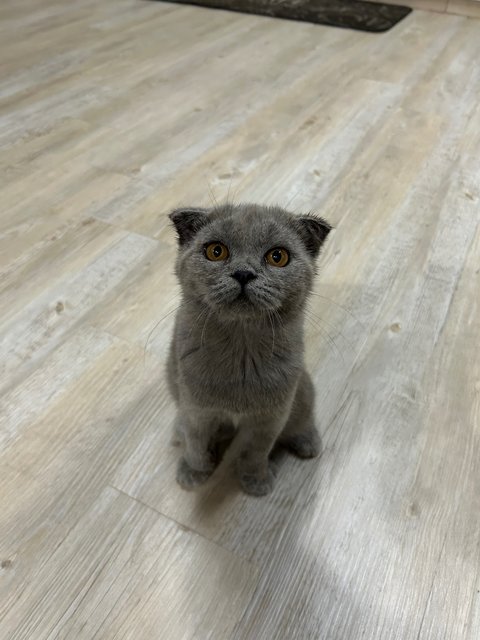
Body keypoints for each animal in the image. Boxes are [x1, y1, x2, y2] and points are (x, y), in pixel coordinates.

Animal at [167, 202, 332, 498]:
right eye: (216, 251)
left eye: (278, 257)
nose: (243, 273)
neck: (241, 350)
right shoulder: (197, 409)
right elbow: (196, 442)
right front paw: (194, 472)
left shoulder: (270, 418)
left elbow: (255, 452)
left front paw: (256, 480)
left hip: (301, 387)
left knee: (304, 413)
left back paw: (308, 442)